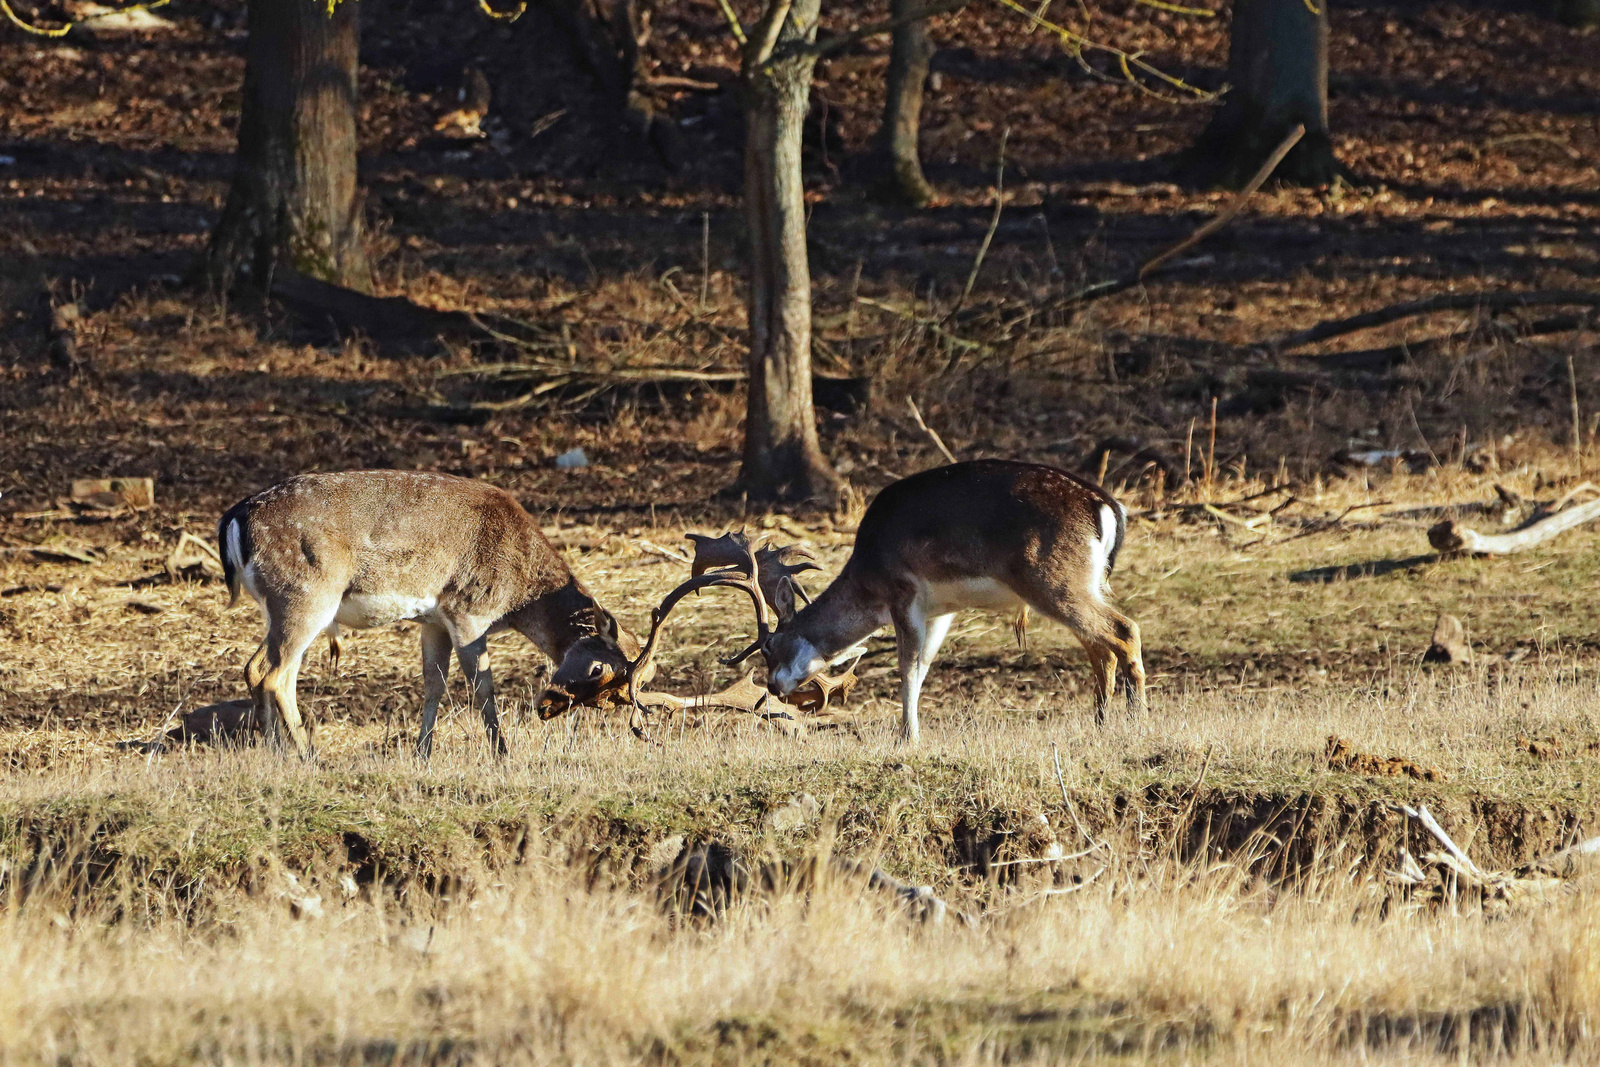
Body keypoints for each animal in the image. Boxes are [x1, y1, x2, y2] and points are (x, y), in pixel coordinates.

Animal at [217, 470, 636, 758]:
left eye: (615, 697)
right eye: (598, 669)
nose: (547, 708)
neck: (518, 595)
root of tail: (235, 518)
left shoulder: (434, 622)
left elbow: (434, 683)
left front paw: (423, 753)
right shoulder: (468, 610)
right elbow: (482, 686)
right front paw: (502, 754)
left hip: (283, 607)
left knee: (274, 673)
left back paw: (290, 753)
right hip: (305, 598)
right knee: (267, 671)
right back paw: (294, 755)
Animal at [755, 460, 1145, 742]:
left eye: (769, 645)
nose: (773, 686)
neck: (869, 580)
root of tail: (1109, 508)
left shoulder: (904, 591)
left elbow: (907, 666)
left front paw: (907, 737)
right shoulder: (941, 610)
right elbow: (925, 665)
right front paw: (911, 732)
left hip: (1053, 579)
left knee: (1124, 629)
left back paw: (1136, 720)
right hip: (1084, 582)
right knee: (1101, 648)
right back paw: (1100, 724)